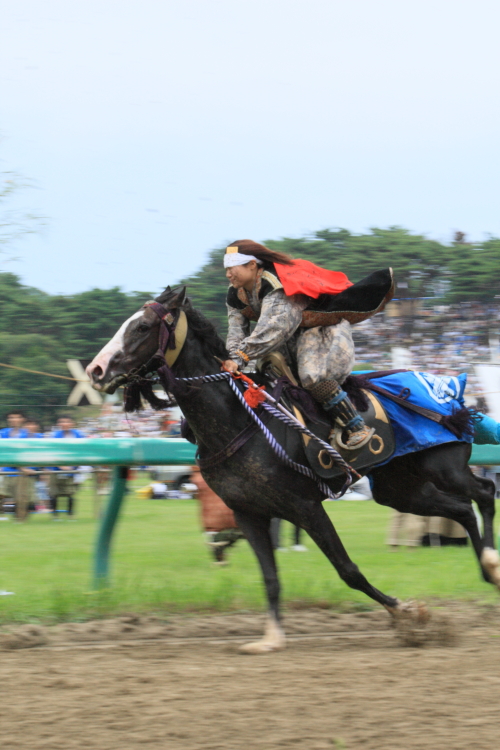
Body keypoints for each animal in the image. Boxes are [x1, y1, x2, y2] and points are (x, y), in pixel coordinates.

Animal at [86, 290, 500, 656]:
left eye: (141, 327)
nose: (96, 369)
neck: (240, 421)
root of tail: (453, 389)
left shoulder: (304, 506)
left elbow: (348, 570)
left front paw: (406, 614)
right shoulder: (247, 512)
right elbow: (269, 577)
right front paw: (270, 637)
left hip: (443, 466)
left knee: (482, 492)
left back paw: (492, 564)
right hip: (400, 488)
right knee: (461, 509)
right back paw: (487, 567)